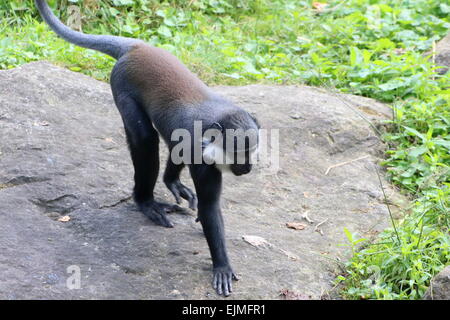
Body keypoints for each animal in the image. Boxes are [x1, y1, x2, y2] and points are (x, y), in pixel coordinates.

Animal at [35, 0, 260, 296]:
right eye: (238, 153)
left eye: (251, 151)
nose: (247, 168)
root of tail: (136, 47)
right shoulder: (201, 157)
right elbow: (210, 207)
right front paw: (222, 265)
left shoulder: (190, 143)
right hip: (120, 86)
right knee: (145, 139)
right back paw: (146, 202)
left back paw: (170, 182)